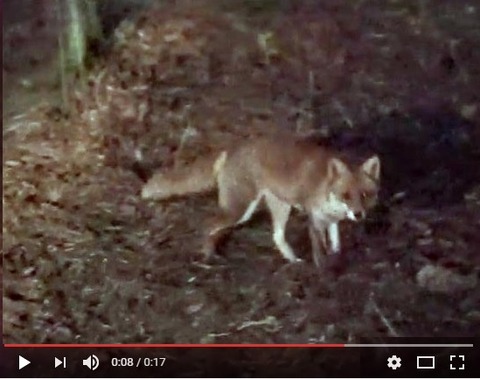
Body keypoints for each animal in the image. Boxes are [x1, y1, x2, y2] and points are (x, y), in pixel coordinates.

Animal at [141, 137, 380, 268]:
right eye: (346, 195)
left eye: (365, 195)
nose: (358, 214)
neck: (325, 187)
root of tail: (232, 148)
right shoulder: (315, 218)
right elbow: (319, 249)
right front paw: (323, 271)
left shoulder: (331, 220)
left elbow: (336, 243)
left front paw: (336, 258)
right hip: (240, 210)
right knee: (208, 225)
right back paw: (208, 256)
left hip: (277, 207)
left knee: (276, 236)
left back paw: (293, 262)